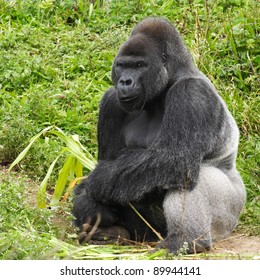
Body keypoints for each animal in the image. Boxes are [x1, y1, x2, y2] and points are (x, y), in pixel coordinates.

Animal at [72, 17, 246, 254]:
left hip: (230, 212)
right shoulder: (111, 102)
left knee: (187, 174)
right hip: (147, 232)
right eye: (122, 65)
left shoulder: (191, 93)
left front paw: (93, 183)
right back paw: (111, 235)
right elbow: (111, 167)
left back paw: (185, 240)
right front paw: (87, 202)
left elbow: (176, 158)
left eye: (139, 66)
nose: (125, 81)